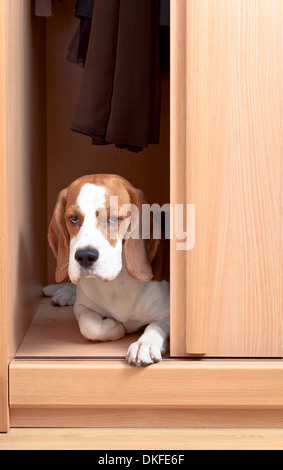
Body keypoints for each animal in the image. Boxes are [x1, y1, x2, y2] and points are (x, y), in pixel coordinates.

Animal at [45, 174, 170, 366]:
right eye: (73, 218)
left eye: (113, 219)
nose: (85, 256)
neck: (117, 283)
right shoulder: (81, 306)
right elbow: (89, 326)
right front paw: (115, 326)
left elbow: (156, 325)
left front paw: (145, 344)